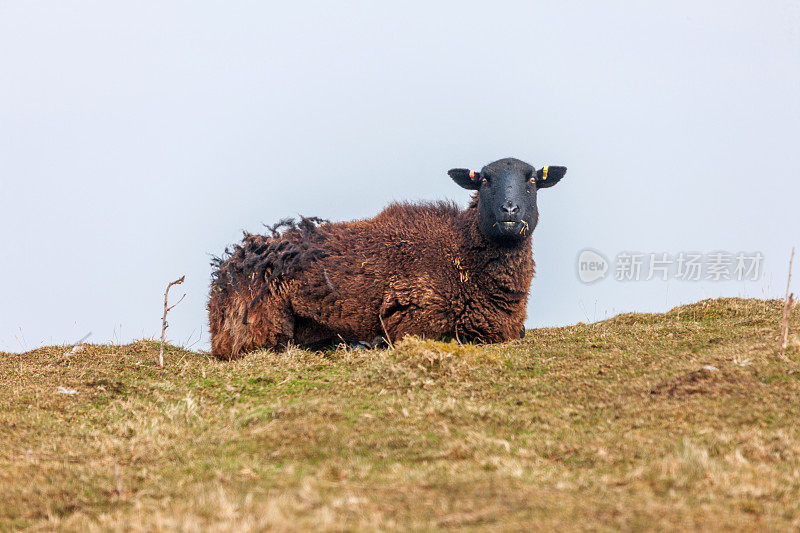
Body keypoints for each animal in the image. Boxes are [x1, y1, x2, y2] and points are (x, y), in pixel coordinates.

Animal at [209, 156, 564, 360]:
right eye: (484, 179)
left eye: (533, 179)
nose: (509, 211)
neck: (461, 252)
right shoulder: (413, 318)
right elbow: (453, 337)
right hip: (262, 322)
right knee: (282, 346)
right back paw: (361, 343)